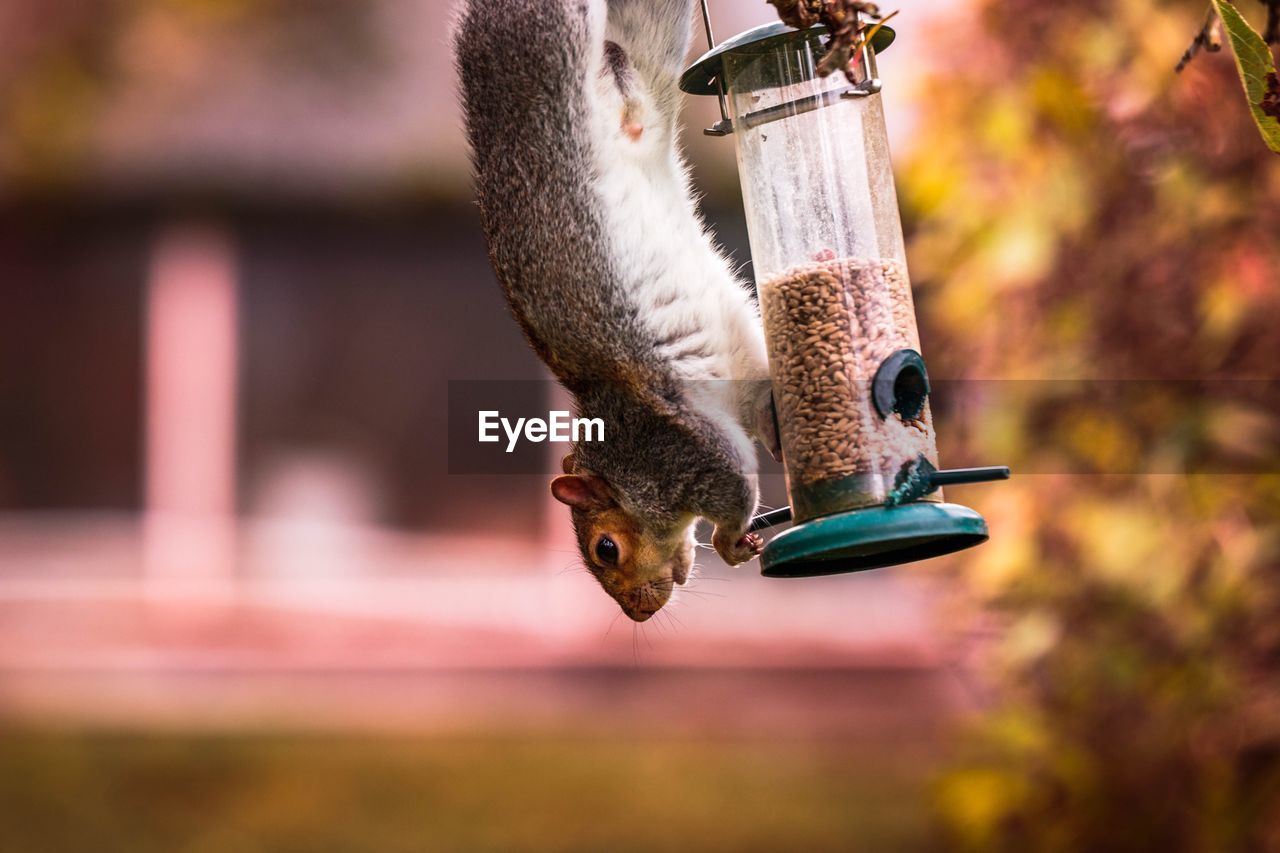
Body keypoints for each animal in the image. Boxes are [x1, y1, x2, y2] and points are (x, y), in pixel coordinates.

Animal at [460, 0, 778, 617]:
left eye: (605, 549)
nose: (638, 612)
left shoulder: (681, 453)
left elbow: (735, 485)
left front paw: (731, 544)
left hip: (551, 44)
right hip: (647, 35)